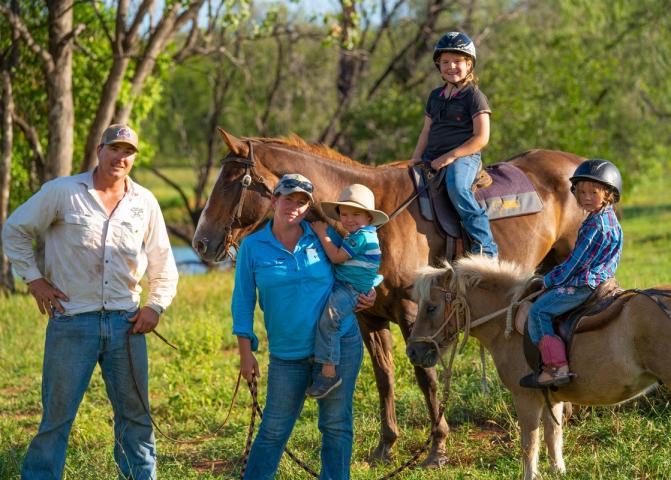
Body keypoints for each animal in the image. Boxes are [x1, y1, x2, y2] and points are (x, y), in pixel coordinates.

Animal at [192, 127, 584, 464]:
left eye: (234, 183)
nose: (201, 242)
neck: (379, 220)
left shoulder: (414, 313)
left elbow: (425, 376)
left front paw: (437, 448)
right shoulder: (368, 317)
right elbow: (384, 376)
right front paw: (387, 445)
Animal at [406, 258, 671, 480]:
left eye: (431, 307)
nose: (412, 352)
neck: (507, 320)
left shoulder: (525, 397)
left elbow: (529, 442)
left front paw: (531, 474)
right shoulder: (551, 397)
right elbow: (553, 436)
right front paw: (558, 471)